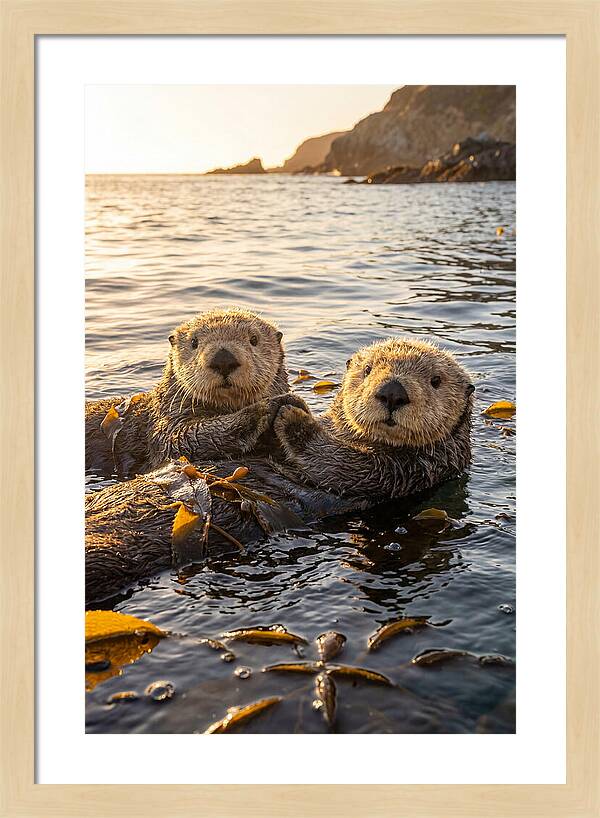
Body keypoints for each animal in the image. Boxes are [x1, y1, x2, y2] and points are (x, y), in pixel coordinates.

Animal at [85, 308, 290, 478]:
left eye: (254, 339)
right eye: (194, 342)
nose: (223, 359)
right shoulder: (167, 421)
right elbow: (182, 439)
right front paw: (268, 407)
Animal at [85, 338, 474, 603]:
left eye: (436, 381)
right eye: (367, 371)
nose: (392, 392)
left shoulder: (406, 472)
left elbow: (337, 462)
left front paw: (291, 415)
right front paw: (278, 405)